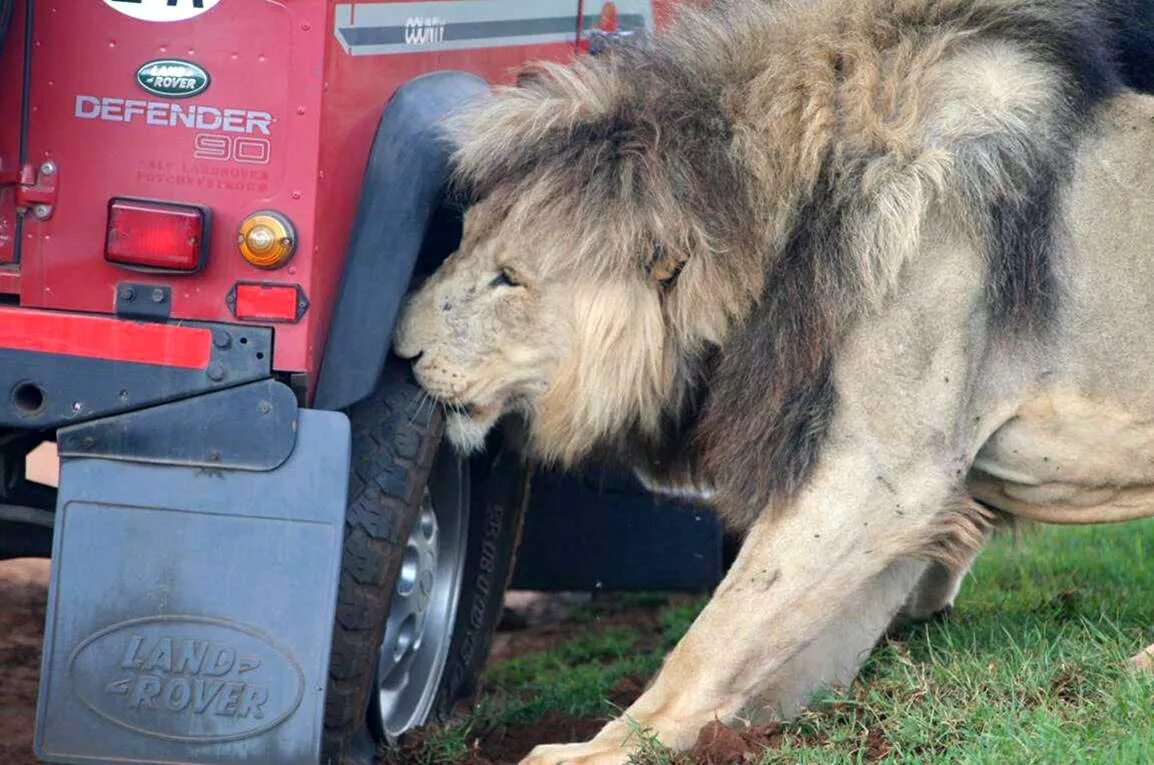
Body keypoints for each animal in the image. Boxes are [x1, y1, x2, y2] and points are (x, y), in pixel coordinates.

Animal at [392, 0, 1154, 761]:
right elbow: (778, 650)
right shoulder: (911, 501)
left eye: (509, 278)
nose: (399, 348)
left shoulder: (885, 472)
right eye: (463, 238)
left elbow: (713, 636)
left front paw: (598, 748)